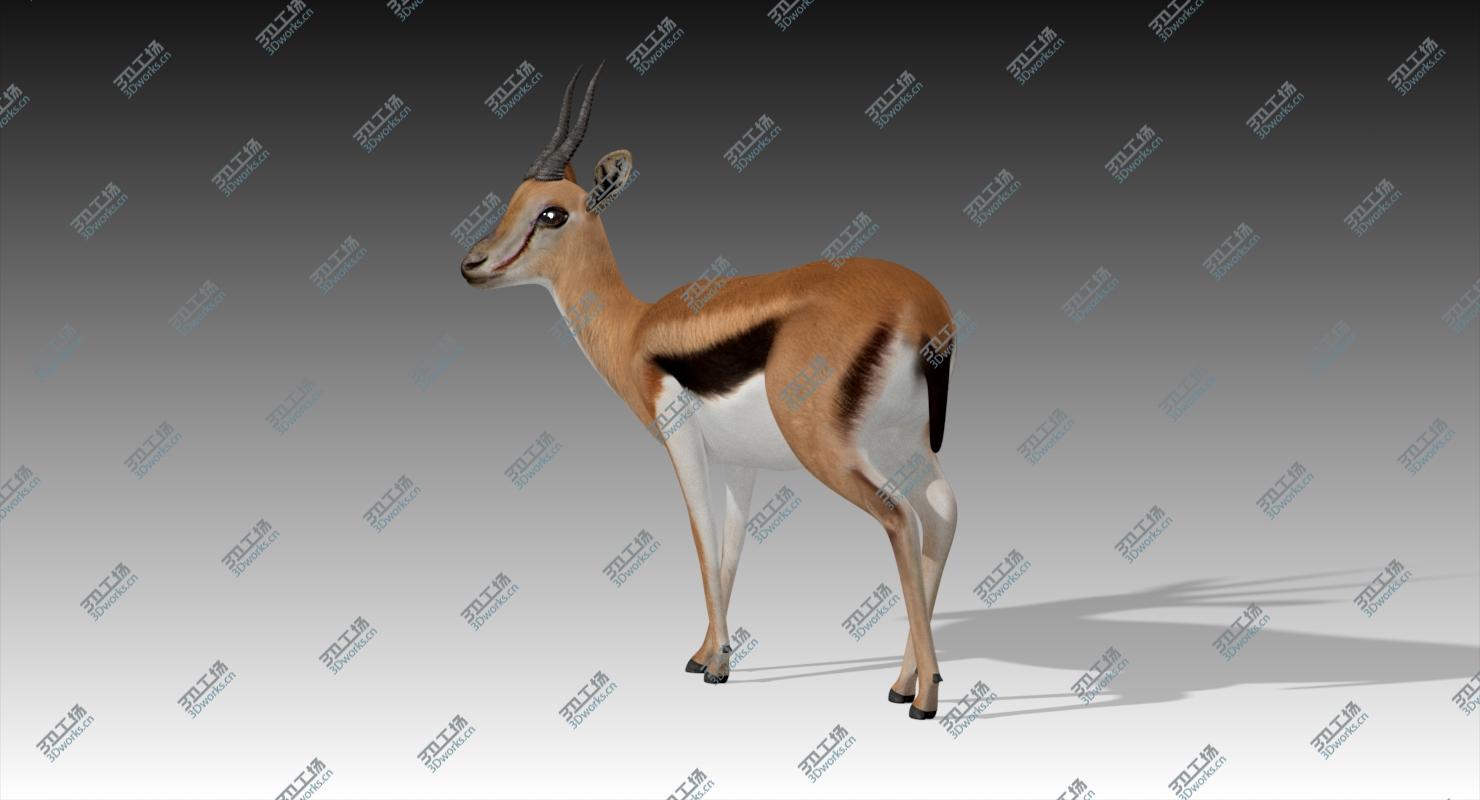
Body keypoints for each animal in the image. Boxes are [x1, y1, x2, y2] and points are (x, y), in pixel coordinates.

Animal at [460, 66, 960, 719]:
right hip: (904, 445)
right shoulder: (742, 462)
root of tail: (926, 312)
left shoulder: (684, 446)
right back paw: (906, 682)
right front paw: (705, 655)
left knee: (901, 518)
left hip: (834, 453)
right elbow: (730, 547)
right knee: (943, 512)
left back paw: (923, 698)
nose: (473, 263)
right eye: (514, 200)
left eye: (551, 214)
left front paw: (718, 667)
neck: (636, 329)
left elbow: (701, 540)